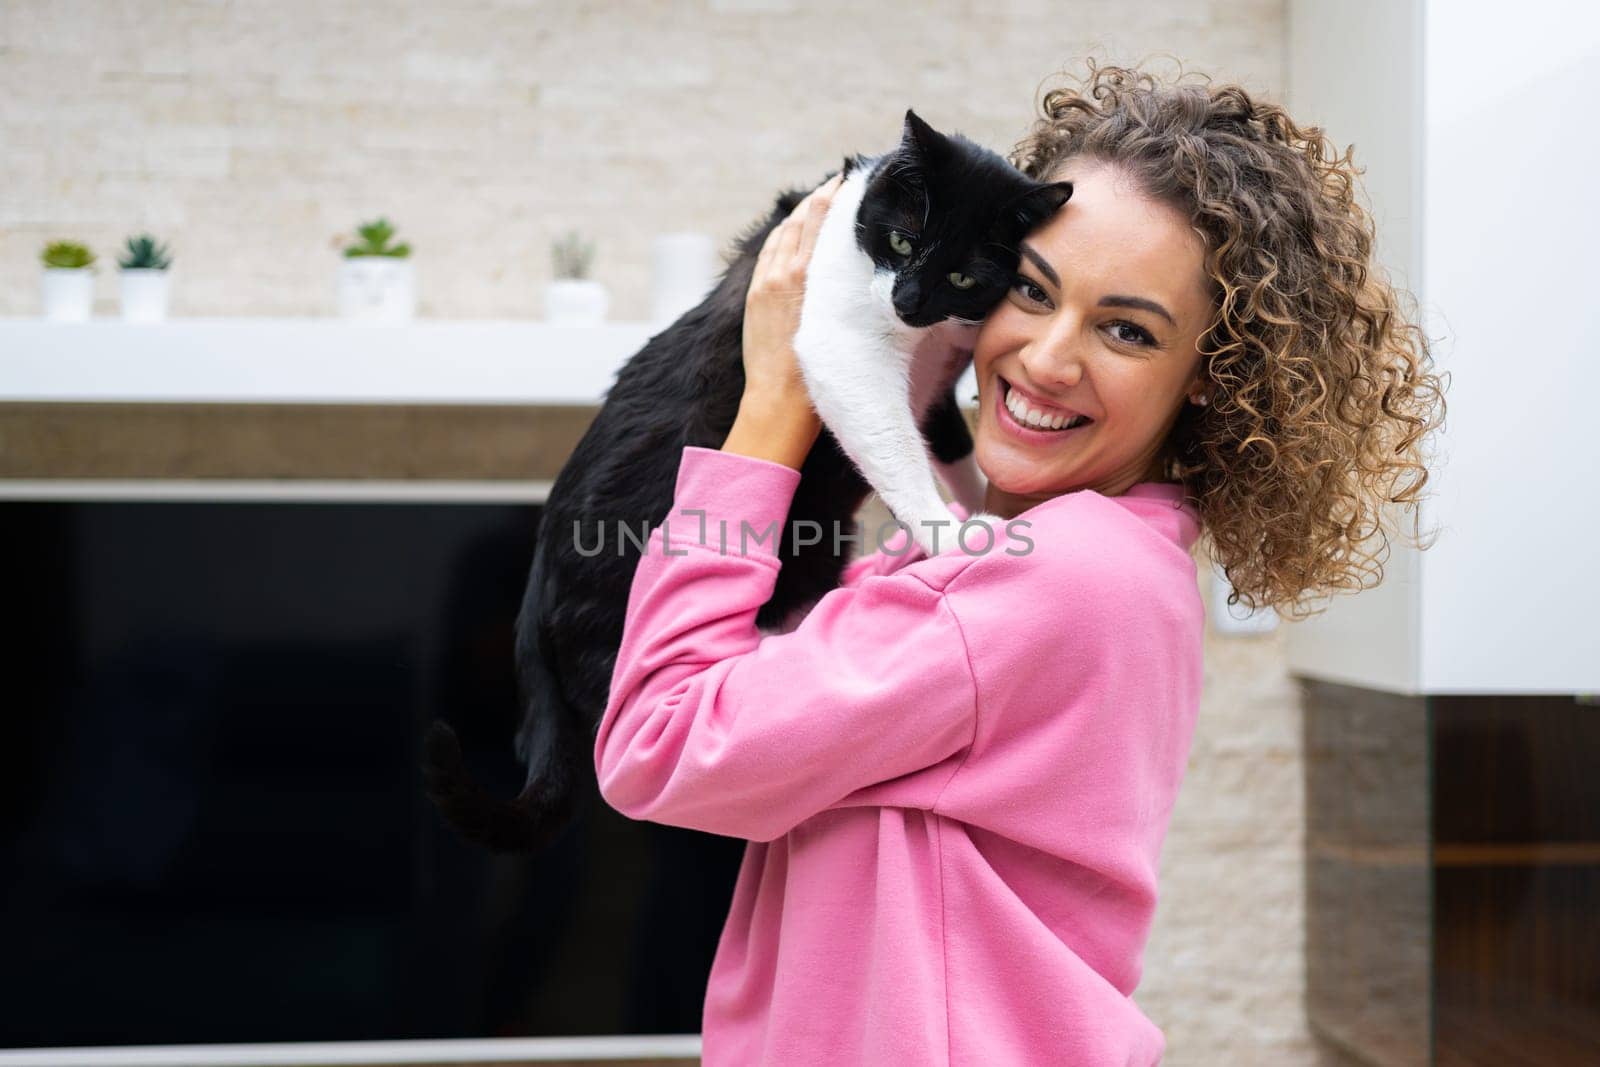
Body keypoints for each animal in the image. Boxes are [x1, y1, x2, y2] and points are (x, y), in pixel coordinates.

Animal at [425, 112, 1075, 857]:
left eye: (964, 274)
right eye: (902, 240)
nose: (906, 302)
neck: (924, 338)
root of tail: (535, 584)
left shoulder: (937, 387)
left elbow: (951, 443)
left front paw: (973, 496)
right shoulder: (841, 348)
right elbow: (892, 442)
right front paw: (953, 534)